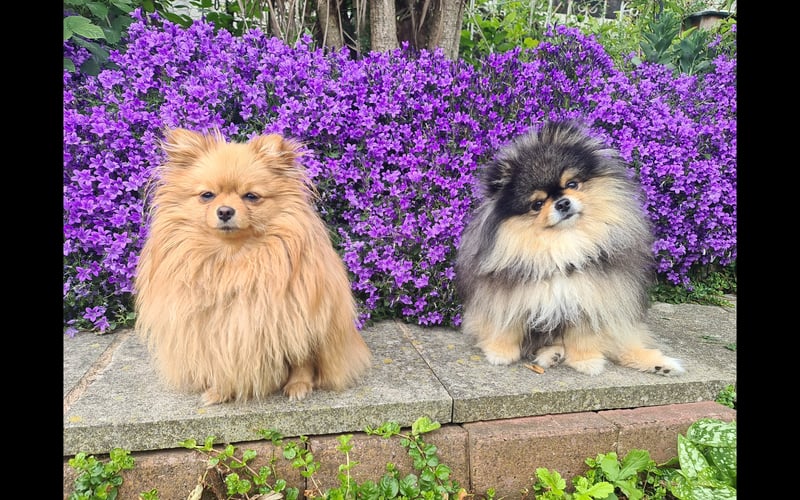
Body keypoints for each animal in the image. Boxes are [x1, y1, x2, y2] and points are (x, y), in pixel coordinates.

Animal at [136, 128, 374, 406]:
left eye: (251, 196)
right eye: (207, 195)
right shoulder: (217, 330)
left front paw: (299, 385)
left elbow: (301, 359)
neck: (233, 257)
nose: (225, 211)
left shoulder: (298, 321)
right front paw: (220, 391)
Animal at [454, 121, 684, 376]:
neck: (564, 245)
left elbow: (584, 336)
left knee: (624, 344)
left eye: (572, 184)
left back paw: (660, 364)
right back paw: (553, 354)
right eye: (537, 204)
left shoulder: (590, 300)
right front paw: (500, 353)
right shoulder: (508, 297)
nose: (562, 203)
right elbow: (505, 327)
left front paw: (587, 361)